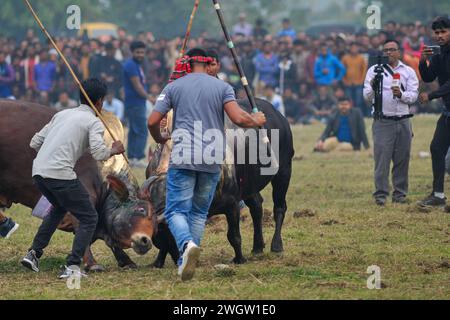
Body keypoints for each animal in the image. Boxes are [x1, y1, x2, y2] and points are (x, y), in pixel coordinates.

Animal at [142, 99, 296, 266]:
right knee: (256, 207)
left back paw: (277, 245)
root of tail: (279, 117)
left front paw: (239, 259)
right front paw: (158, 262)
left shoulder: (232, 204)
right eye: (159, 235)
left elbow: (233, 236)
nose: (179, 259)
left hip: (283, 172)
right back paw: (257, 246)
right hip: (250, 186)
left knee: (279, 207)